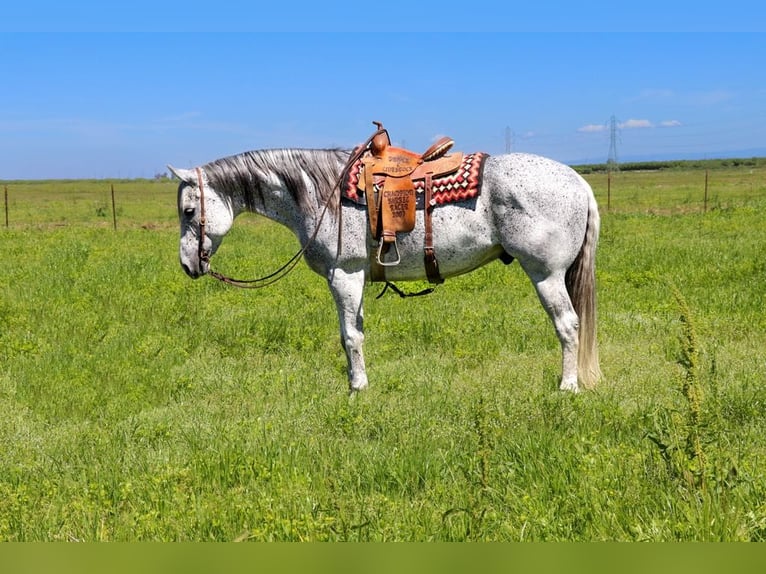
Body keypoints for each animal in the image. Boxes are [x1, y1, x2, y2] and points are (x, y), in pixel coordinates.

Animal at [171, 143, 604, 396]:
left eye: (189, 211)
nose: (188, 265)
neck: (321, 193)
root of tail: (578, 181)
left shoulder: (344, 275)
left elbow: (349, 337)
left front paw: (357, 390)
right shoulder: (357, 278)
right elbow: (356, 332)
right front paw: (357, 382)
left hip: (546, 274)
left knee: (568, 325)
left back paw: (568, 387)